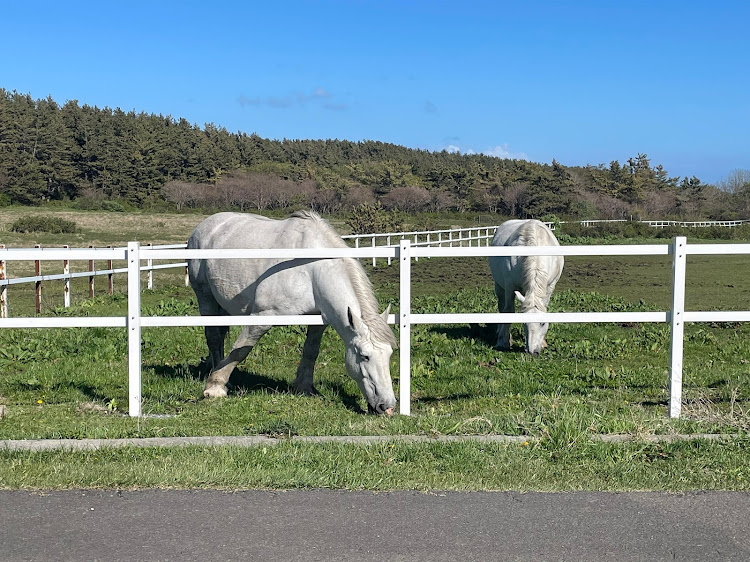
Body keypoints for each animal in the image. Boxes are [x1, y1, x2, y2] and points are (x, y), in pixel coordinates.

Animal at [188, 210, 400, 412]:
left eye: (389, 354)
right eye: (364, 356)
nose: (386, 406)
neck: (310, 270)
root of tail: (204, 226)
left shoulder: (318, 321)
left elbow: (310, 351)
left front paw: (304, 387)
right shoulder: (262, 317)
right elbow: (240, 350)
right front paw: (215, 387)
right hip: (205, 296)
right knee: (213, 336)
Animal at [488, 219, 564, 354]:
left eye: (543, 323)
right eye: (524, 322)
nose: (532, 352)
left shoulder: (550, 287)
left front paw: (543, 343)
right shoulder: (509, 287)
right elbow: (508, 311)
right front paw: (503, 342)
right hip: (499, 286)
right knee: (501, 306)